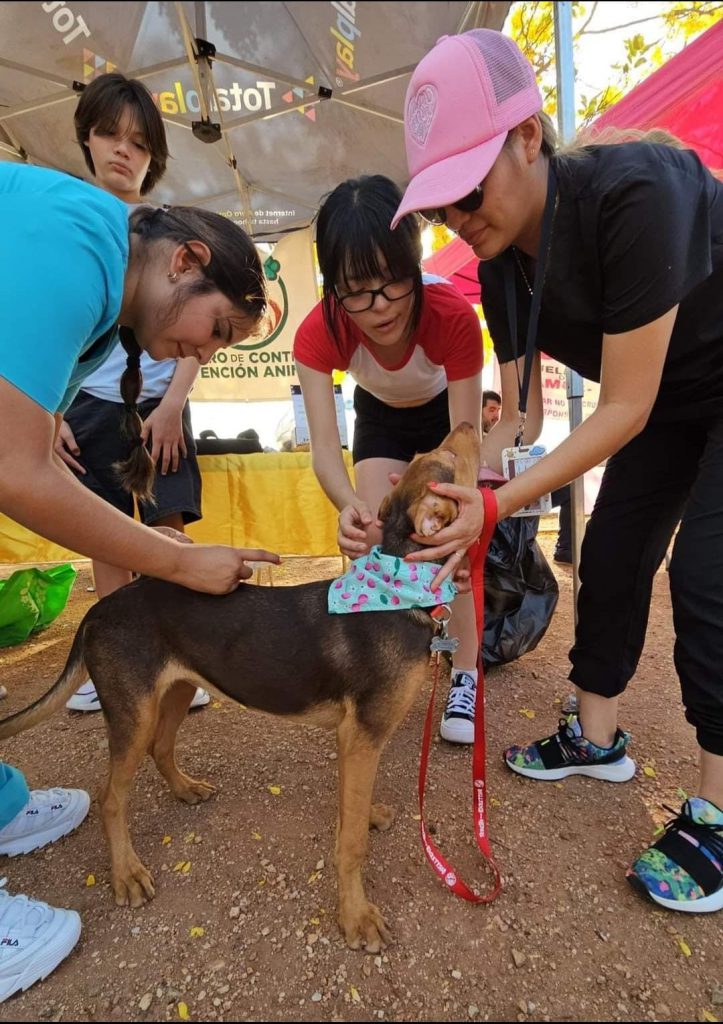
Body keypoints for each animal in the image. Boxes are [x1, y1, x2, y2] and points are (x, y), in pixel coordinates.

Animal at [0, 419, 479, 946]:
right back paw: (126, 873)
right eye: (448, 461)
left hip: (176, 690)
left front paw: (366, 815)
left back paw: (185, 789)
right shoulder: (363, 735)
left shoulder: (354, 741)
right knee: (111, 799)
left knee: (161, 749)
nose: (469, 420)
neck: (397, 587)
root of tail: (97, 611)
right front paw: (356, 916)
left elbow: (350, 810)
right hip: (134, 712)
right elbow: (350, 843)